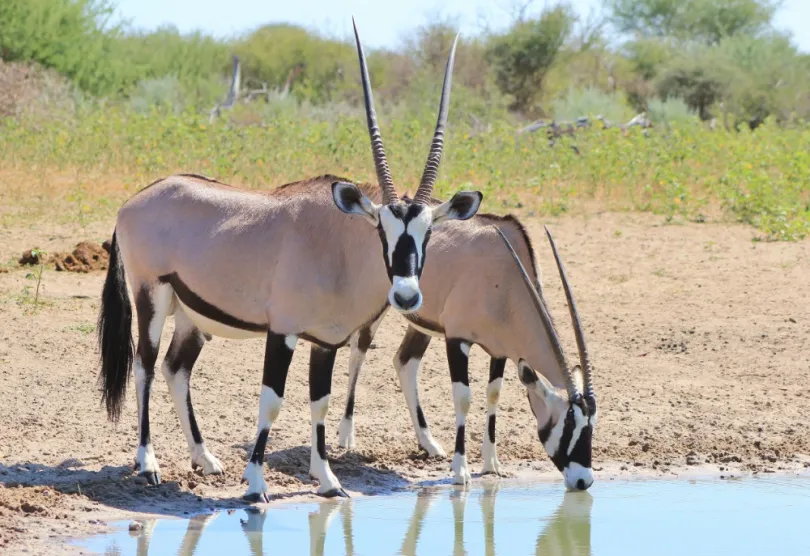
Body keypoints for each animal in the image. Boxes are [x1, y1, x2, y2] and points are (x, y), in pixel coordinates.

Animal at [96, 19, 480, 502]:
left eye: (428, 231)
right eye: (381, 229)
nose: (407, 295)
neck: (337, 246)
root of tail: (134, 201)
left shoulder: (325, 340)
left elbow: (320, 401)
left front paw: (328, 480)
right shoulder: (282, 331)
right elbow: (272, 400)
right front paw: (256, 484)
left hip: (191, 313)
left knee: (175, 368)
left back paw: (205, 459)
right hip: (152, 294)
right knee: (144, 366)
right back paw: (148, 463)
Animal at [334, 224, 592, 488]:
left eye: (591, 425)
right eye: (569, 424)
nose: (584, 481)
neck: (504, 280)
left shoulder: (499, 350)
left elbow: (494, 394)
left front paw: (491, 464)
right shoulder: (457, 339)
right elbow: (463, 399)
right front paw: (460, 471)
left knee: (404, 362)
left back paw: (429, 444)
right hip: (375, 305)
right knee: (358, 353)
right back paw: (346, 435)